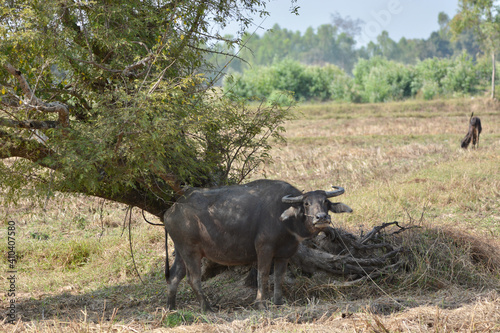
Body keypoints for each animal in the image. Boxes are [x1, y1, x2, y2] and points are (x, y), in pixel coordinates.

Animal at [164, 178, 352, 310]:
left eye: (326, 202)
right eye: (306, 203)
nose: (321, 217)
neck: (285, 219)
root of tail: (172, 210)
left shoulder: (284, 254)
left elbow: (279, 277)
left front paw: (278, 302)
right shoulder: (264, 248)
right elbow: (262, 275)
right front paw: (261, 303)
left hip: (180, 252)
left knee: (174, 277)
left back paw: (171, 307)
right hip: (191, 251)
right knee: (193, 279)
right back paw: (207, 307)